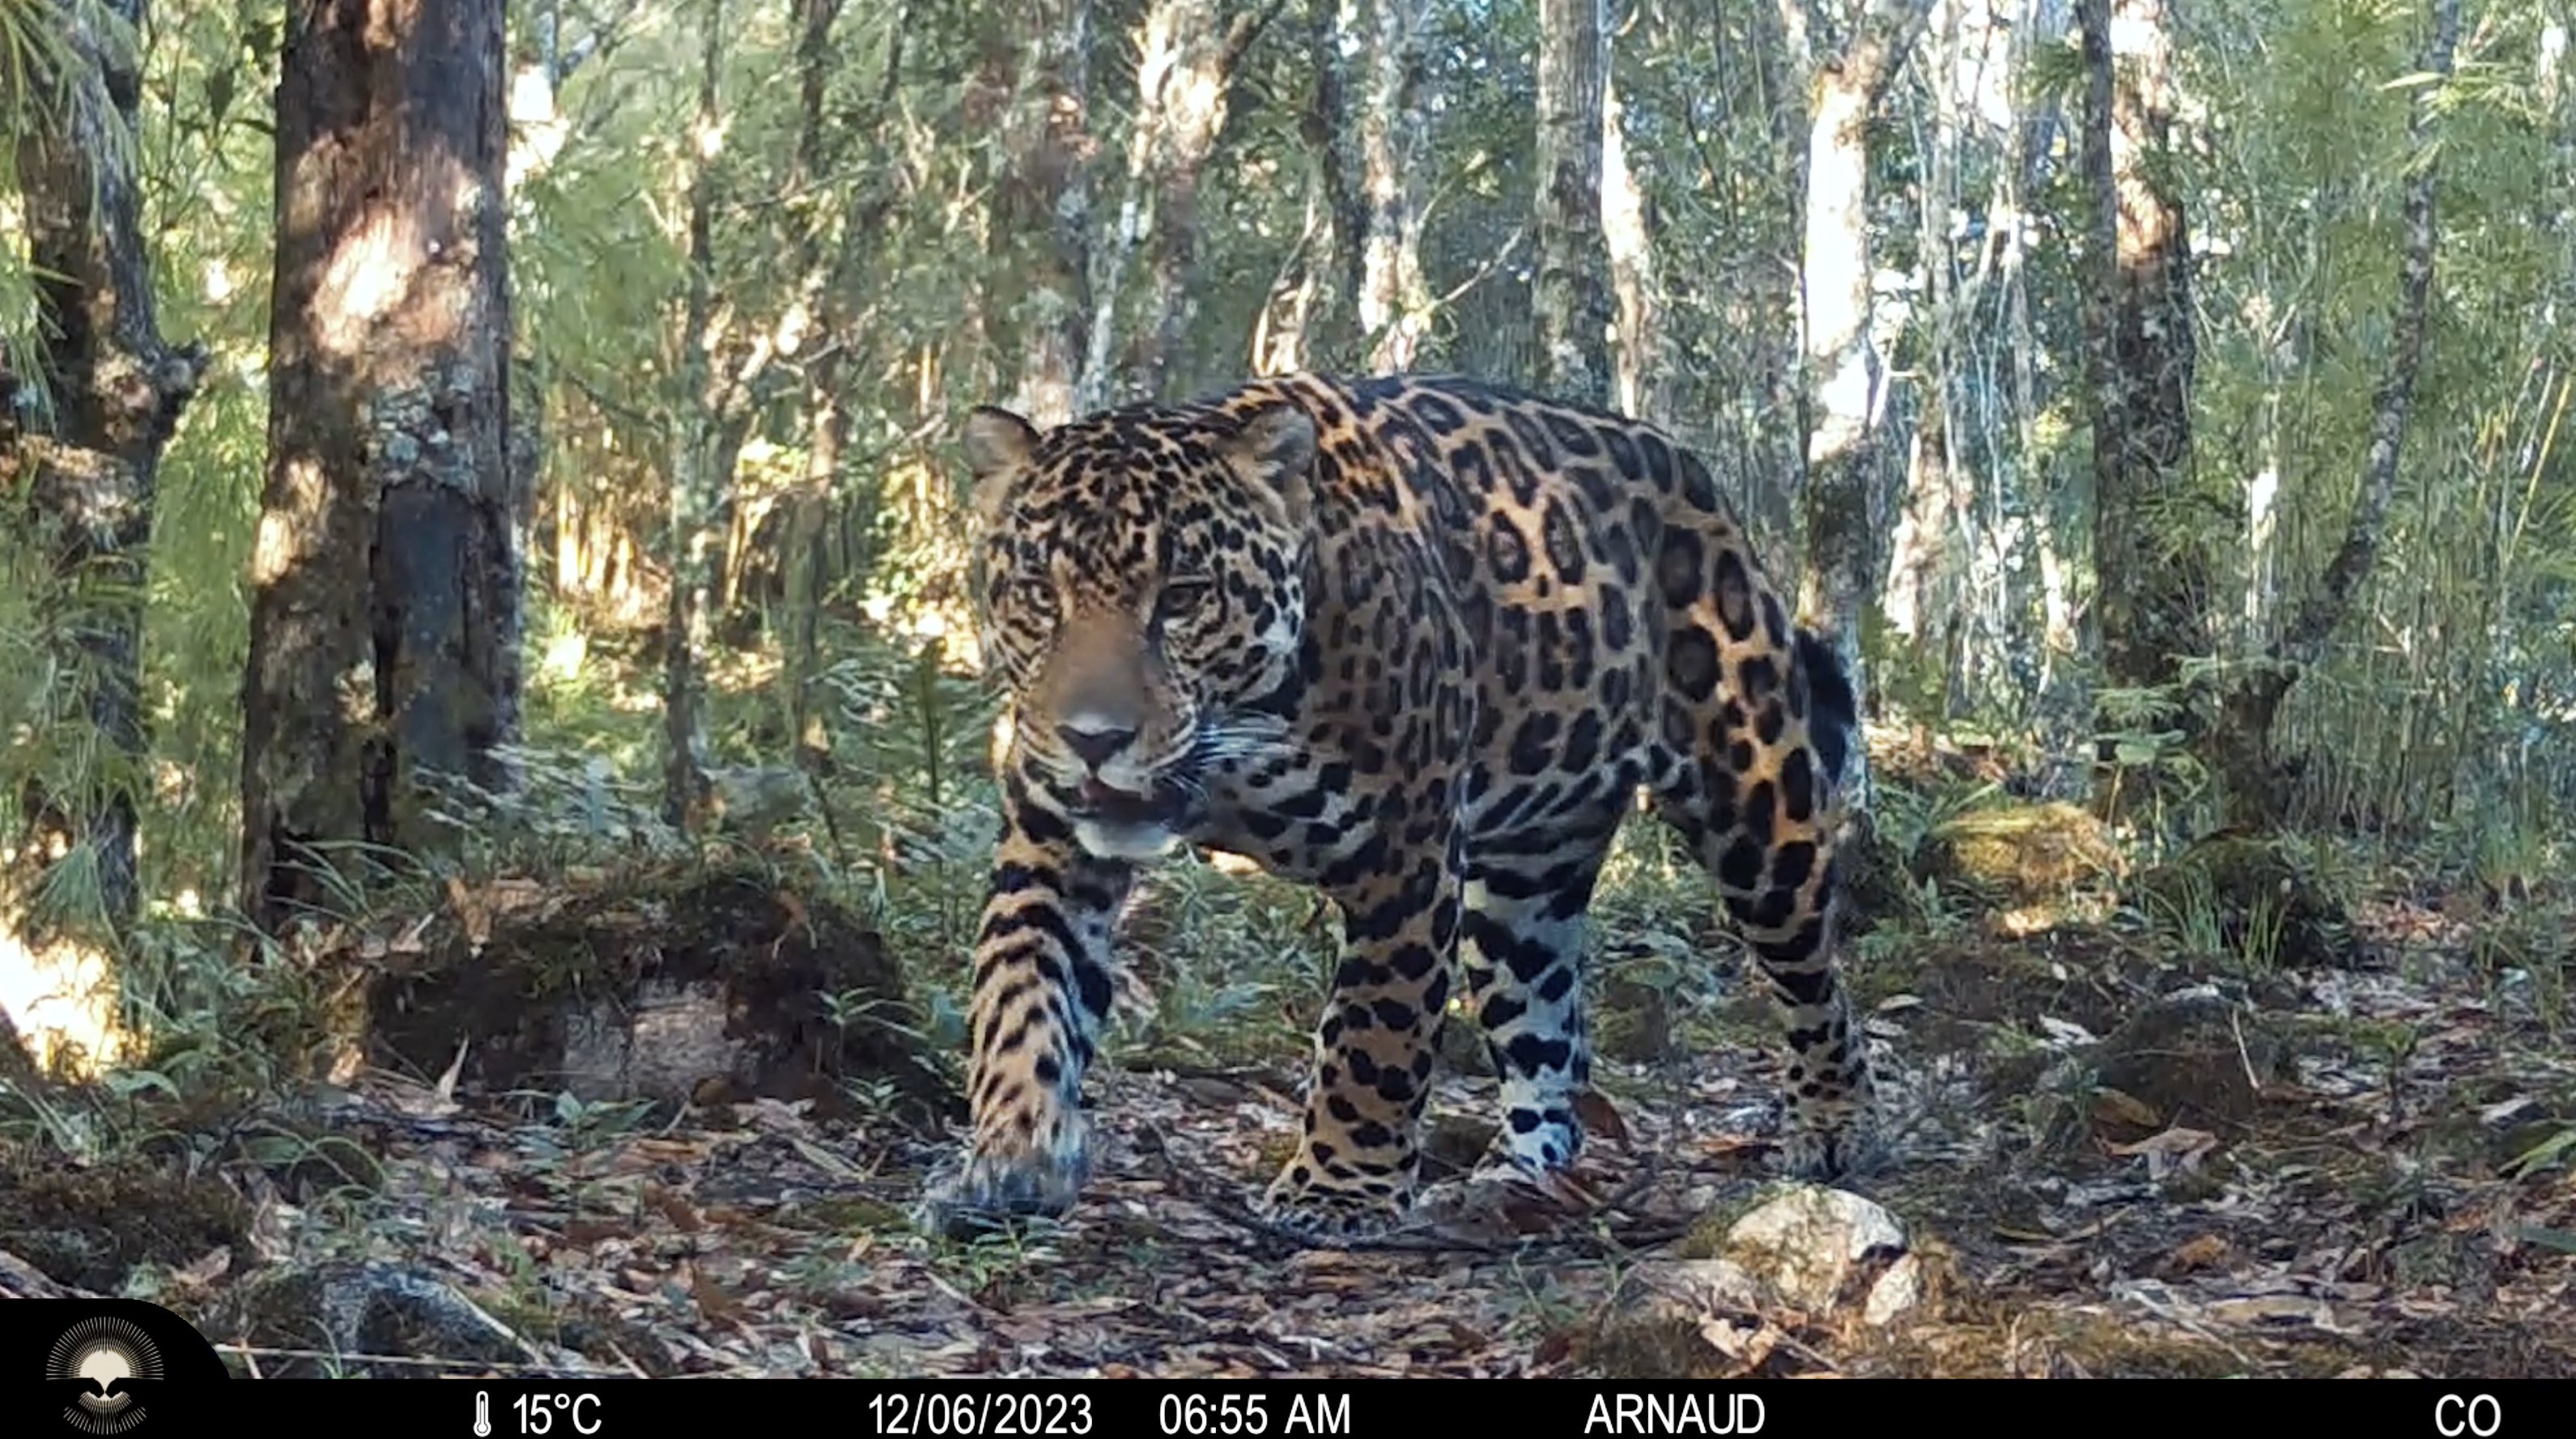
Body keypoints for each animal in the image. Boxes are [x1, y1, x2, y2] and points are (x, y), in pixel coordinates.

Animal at [916, 371, 1880, 1239]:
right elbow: (1019, 995)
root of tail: (1687, 466)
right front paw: (1012, 1157)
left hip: (1755, 802)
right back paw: (1514, 1177)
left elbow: (1373, 1032)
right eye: (1040, 594)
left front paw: (1336, 1188)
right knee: (1548, 1028)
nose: (1092, 738)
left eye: (1182, 598)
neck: (1242, 730)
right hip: (1522, 887)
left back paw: (1835, 1123)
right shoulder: (1050, 848)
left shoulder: (1404, 857)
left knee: (1812, 978)